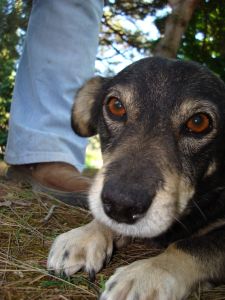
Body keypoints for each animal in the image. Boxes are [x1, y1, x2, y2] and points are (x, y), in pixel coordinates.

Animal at [47, 57, 225, 298]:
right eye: (116, 106)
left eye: (199, 122)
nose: (121, 206)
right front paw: (85, 234)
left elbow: (195, 245)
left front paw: (149, 273)